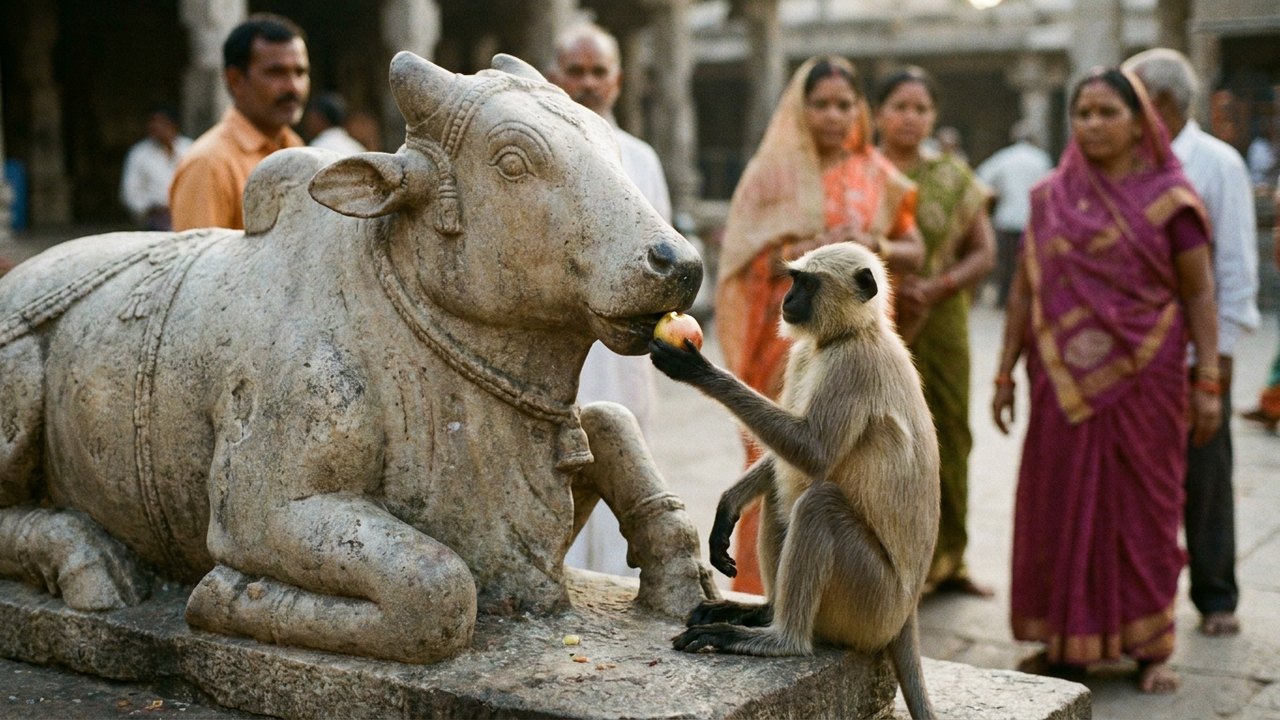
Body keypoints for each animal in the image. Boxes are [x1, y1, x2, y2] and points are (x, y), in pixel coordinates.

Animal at [649, 242, 940, 720]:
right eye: (793, 281)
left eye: (807, 284)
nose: (787, 300)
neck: (849, 335)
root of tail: (905, 615)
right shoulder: (805, 355)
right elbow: (788, 460)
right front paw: (729, 505)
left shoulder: (852, 366)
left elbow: (811, 453)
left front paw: (697, 370)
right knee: (781, 494)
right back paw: (763, 612)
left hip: (873, 603)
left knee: (818, 504)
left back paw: (780, 640)